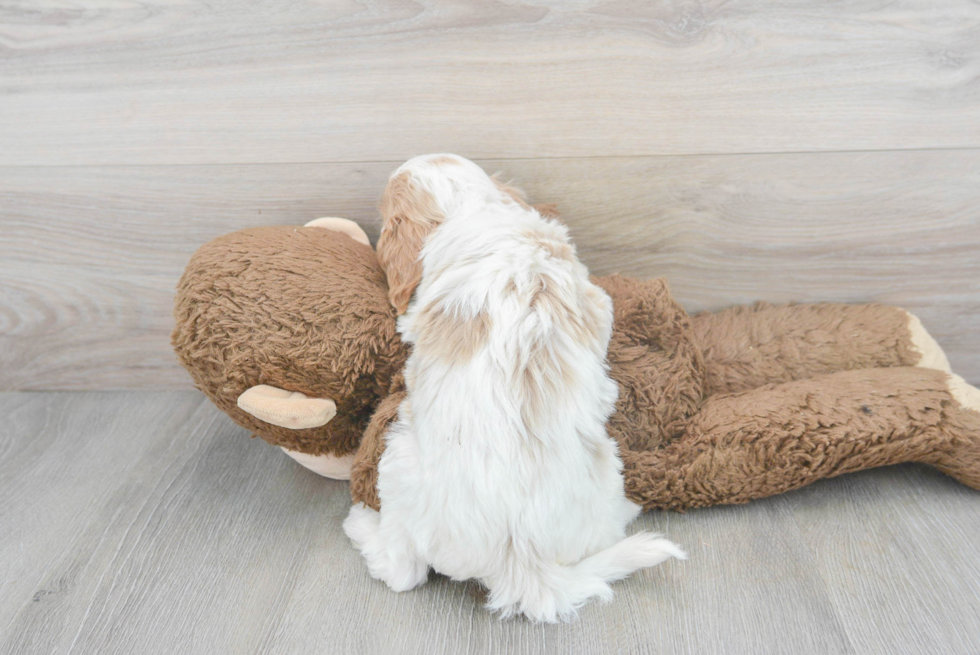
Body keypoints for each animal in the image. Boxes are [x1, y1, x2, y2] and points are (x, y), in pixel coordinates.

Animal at [342, 155, 680, 624]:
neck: (473, 208)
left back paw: (359, 522)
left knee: (402, 571)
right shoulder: (596, 299)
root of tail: (521, 560)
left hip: (396, 460)